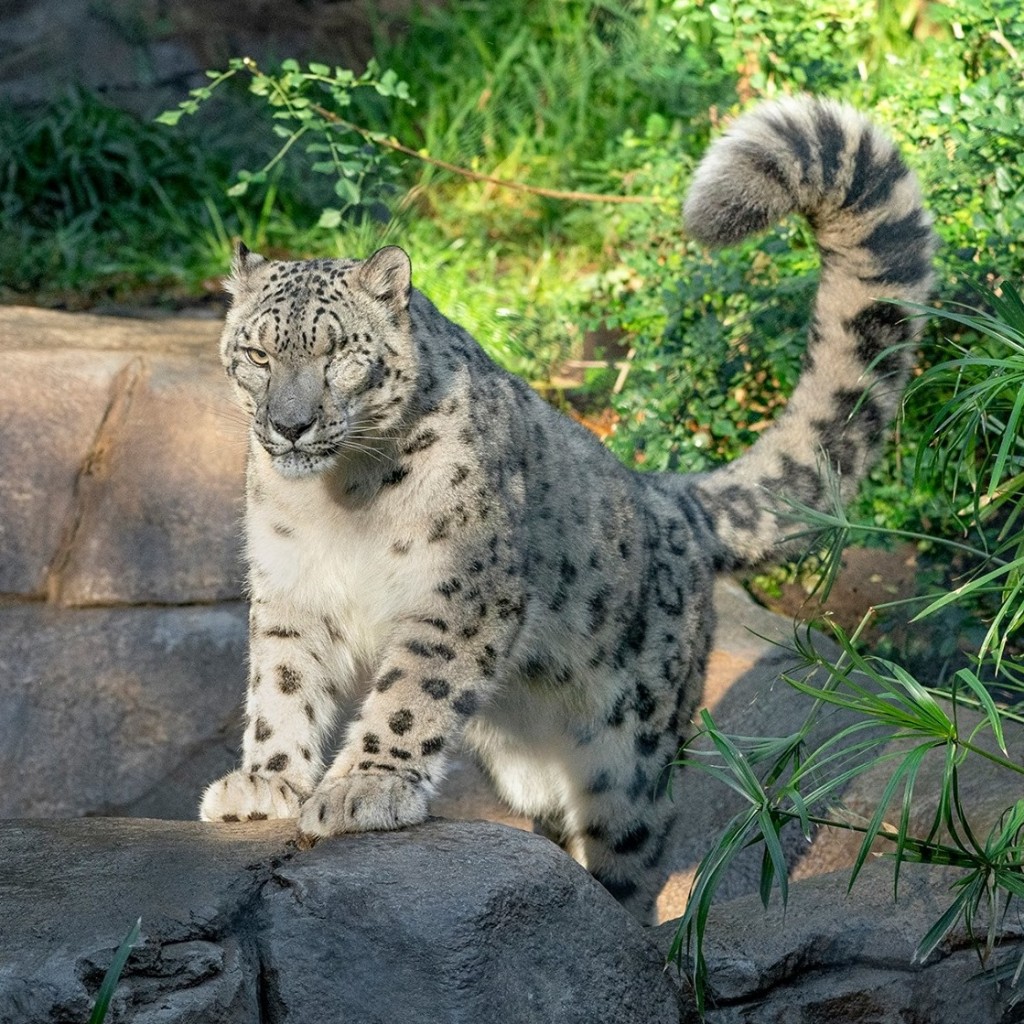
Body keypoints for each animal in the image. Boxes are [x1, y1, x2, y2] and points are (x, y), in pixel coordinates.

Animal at [199, 95, 936, 923]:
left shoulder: (459, 589)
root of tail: (665, 494)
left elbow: (411, 694)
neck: (340, 500)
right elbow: (282, 683)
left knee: (635, 844)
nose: (289, 424)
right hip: (531, 768)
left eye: (338, 355)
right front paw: (265, 784)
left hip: (631, 751)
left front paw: (364, 787)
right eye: (256, 353)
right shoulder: (291, 586)